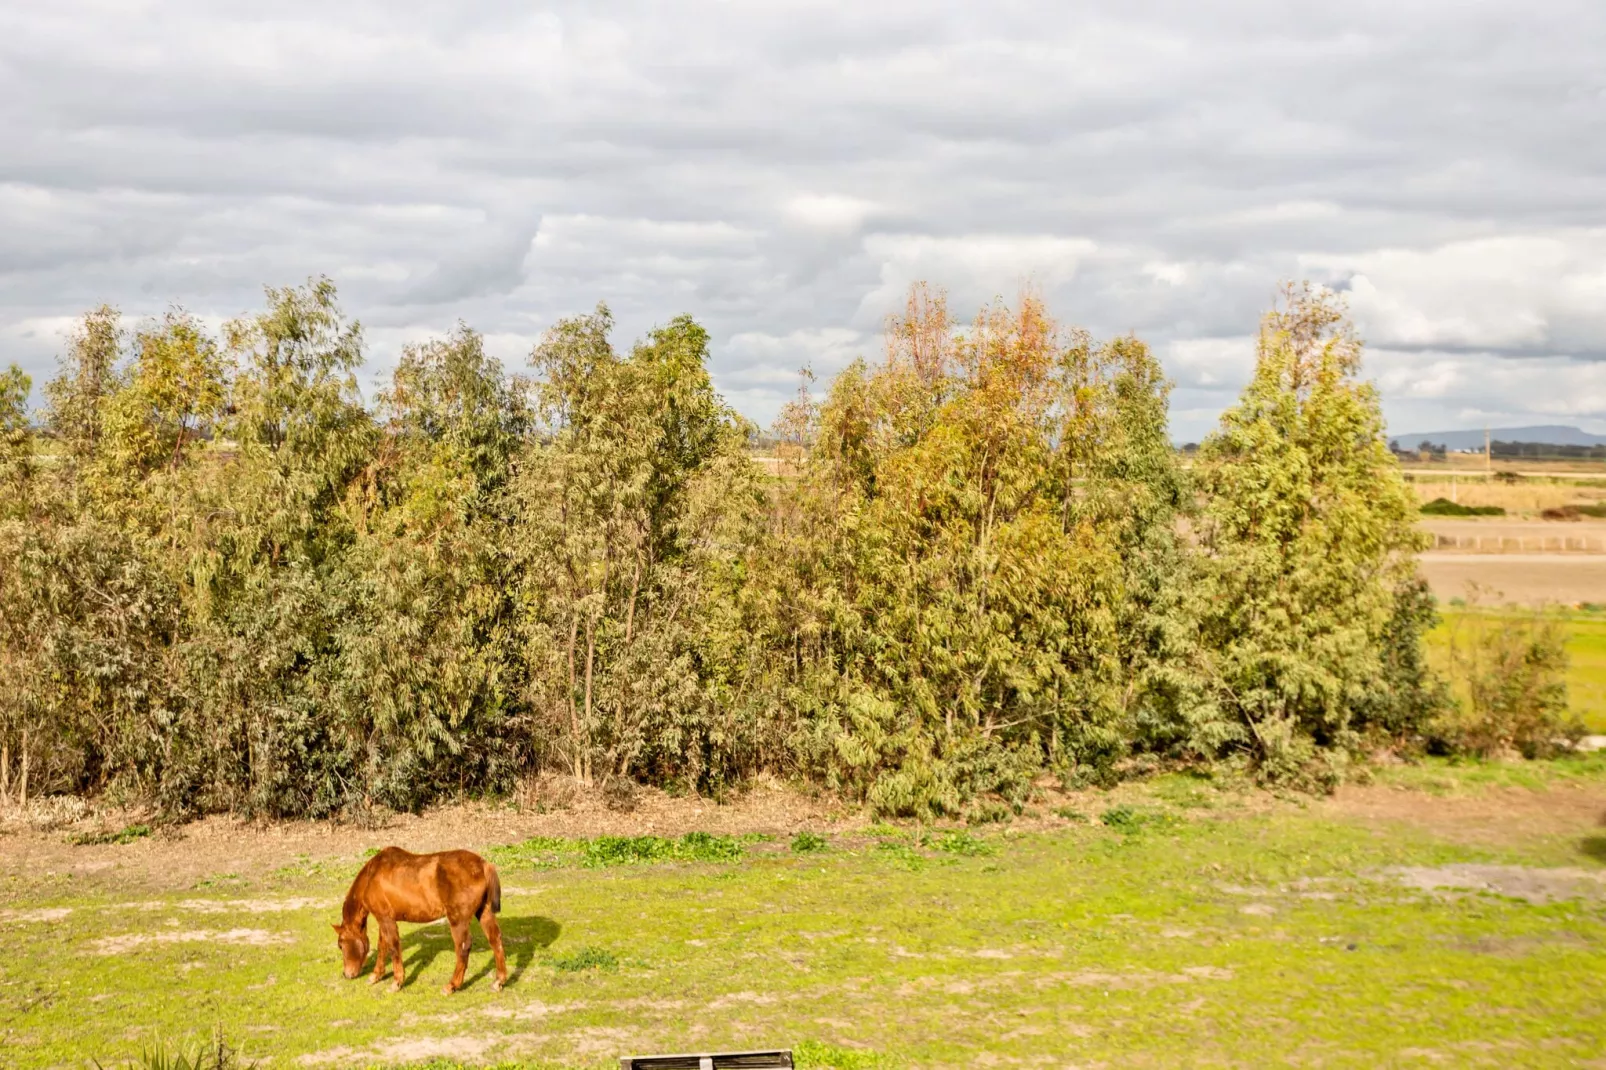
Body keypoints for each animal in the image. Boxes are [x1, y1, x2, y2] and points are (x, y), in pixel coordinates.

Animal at [337, 841, 507, 989]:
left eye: (341, 944)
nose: (346, 974)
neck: (372, 876)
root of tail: (483, 864)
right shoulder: (383, 919)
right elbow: (382, 946)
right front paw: (376, 975)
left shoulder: (386, 919)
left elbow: (393, 947)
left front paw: (397, 982)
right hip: (484, 912)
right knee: (495, 939)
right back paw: (499, 981)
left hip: (458, 920)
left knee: (463, 947)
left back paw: (452, 986)